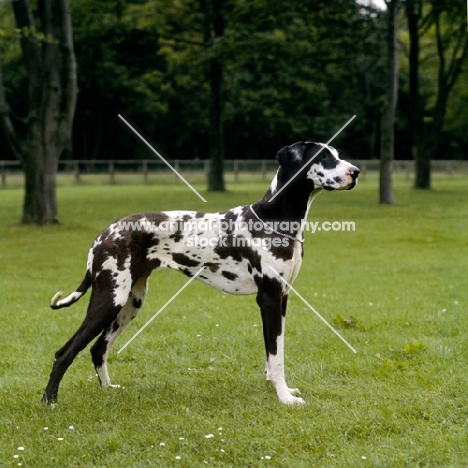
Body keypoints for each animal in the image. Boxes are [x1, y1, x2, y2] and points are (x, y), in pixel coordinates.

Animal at [43, 141, 358, 404]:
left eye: (337, 153)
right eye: (324, 156)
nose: (355, 171)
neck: (274, 218)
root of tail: (103, 235)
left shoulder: (282, 298)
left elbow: (276, 353)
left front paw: (280, 389)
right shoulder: (269, 298)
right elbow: (276, 356)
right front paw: (284, 398)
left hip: (130, 303)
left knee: (98, 348)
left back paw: (108, 389)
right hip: (110, 299)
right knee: (65, 351)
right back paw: (50, 400)